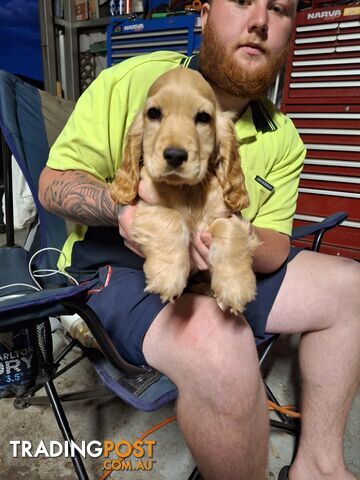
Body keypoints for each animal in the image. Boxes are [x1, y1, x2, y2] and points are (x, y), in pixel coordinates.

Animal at [109, 67, 258, 316]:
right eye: (154, 113)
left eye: (203, 118)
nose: (175, 155)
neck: (188, 190)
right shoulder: (147, 206)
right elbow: (171, 217)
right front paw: (168, 276)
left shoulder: (230, 216)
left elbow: (228, 233)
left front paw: (235, 287)